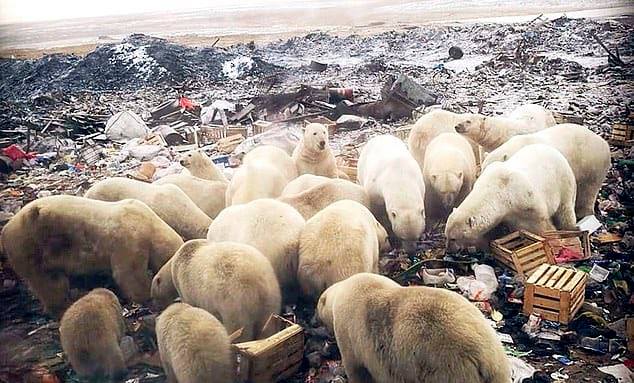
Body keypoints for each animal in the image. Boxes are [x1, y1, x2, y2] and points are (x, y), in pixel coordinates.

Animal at [1, 196, 183, 316]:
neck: (150, 224)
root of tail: (5, 231)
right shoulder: (130, 239)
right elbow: (128, 273)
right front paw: (145, 295)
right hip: (31, 246)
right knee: (49, 282)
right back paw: (62, 305)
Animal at [442, 142, 576, 250]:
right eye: (446, 235)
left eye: (453, 238)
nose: (449, 250)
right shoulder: (506, 214)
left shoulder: (527, 202)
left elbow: (542, 225)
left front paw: (554, 241)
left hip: (563, 181)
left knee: (566, 210)